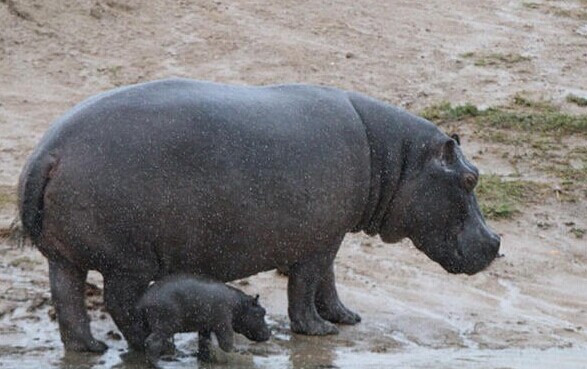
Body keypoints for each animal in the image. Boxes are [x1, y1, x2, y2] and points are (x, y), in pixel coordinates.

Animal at [20, 78, 504, 350]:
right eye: (471, 179)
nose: (497, 243)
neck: (396, 158)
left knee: (68, 301)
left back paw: (90, 350)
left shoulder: (329, 234)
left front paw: (346, 318)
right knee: (119, 305)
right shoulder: (318, 239)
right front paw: (319, 331)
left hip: (64, 256)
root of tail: (48, 153)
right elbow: (306, 285)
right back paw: (149, 346)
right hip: (128, 262)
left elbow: (328, 281)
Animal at [136, 274, 272, 366]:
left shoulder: (205, 326)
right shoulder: (223, 324)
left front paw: (204, 359)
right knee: (152, 342)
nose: (269, 333)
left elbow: (204, 342)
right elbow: (226, 342)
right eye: (261, 312)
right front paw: (236, 353)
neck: (239, 305)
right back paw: (159, 365)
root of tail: (144, 298)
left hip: (149, 325)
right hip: (165, 325)